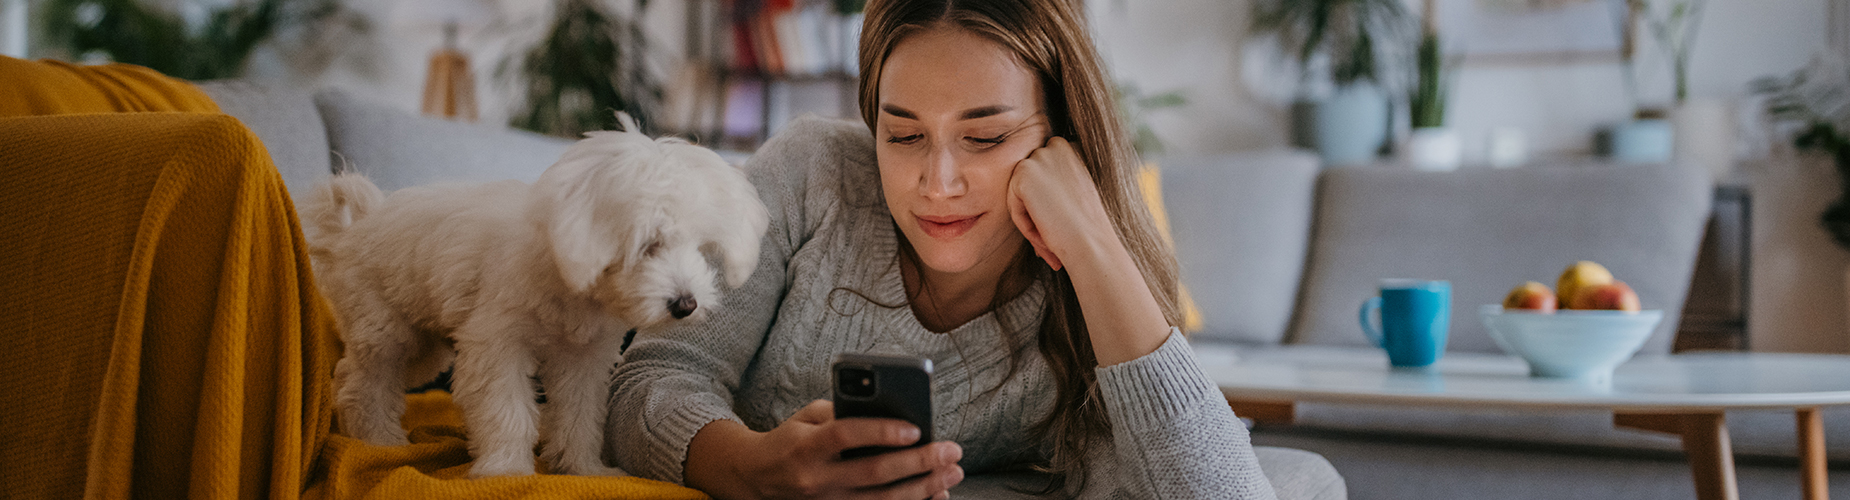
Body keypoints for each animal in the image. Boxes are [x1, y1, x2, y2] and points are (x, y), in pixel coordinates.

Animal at [307, 114, 769, 477]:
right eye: (648, 245)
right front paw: (505, 471)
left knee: (356, 376)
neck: (571, 282)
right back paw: (380, 441)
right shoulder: (497, 347)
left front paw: (585, 470)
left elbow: (579, 417)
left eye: (702, 249)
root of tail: (357, 224)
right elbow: (508, 412)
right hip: (388, 332)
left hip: (425, 350)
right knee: (361, 384)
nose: (686, 305)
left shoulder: (582, 360)